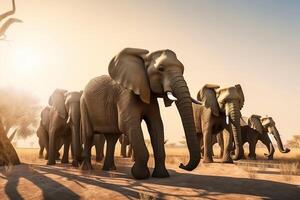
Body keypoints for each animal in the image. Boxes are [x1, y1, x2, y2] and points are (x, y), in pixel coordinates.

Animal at [81, 47, 200, 180]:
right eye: (161, 69)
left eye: (183, 70)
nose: (181, 164)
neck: (144, 59)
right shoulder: (125, 95)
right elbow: (128, 124)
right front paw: (140, 175)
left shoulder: (150, 96)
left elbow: (156, 125)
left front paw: (161, 176)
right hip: (84, 104)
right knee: (88, 135)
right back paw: (87, 169)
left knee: (112, 138)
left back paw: (109, 169)